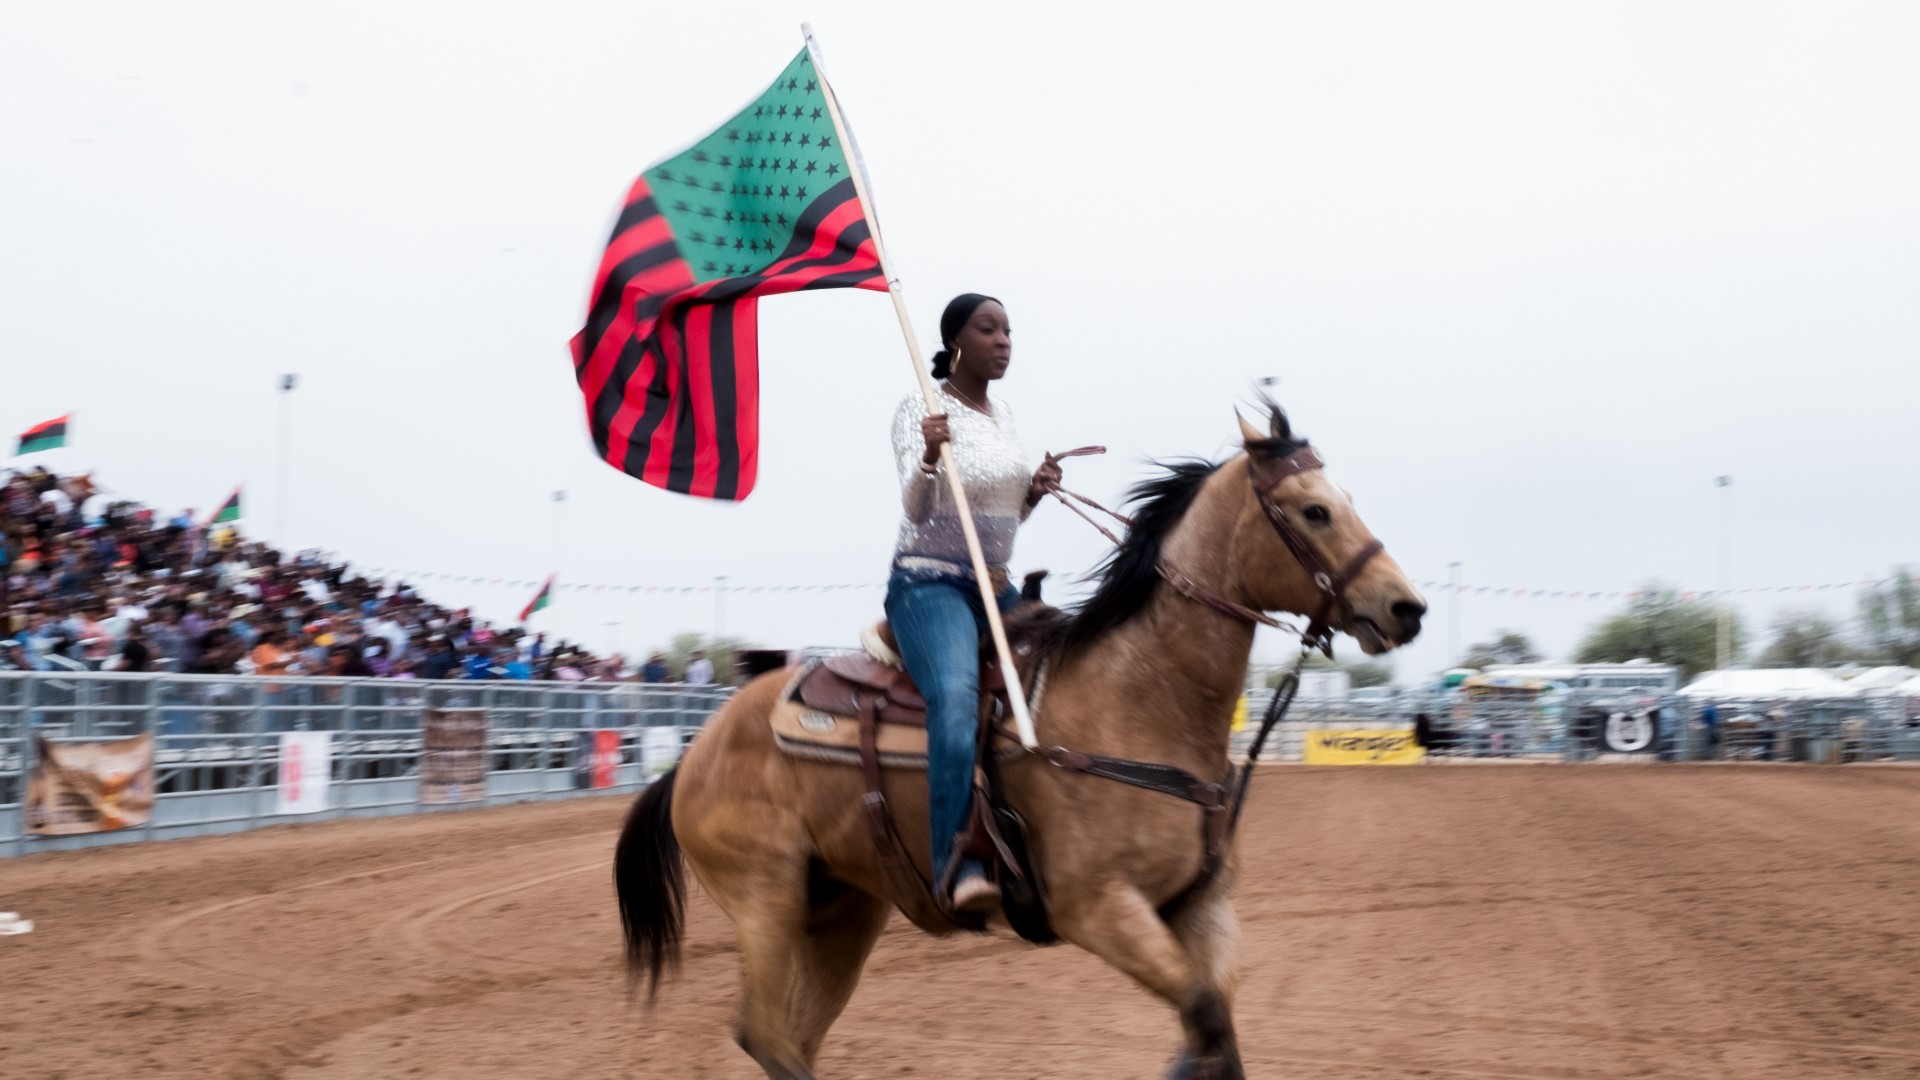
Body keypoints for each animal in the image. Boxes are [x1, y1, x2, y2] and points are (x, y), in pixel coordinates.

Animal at [614, 399, 1428, 1068]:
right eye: (1313, 511)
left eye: (1345, 502)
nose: (1407, 608)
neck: (1138, 701)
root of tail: (696, 753)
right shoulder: (1098, 908)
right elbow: (1204, 1017)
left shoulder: (1201, 906)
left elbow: (1213, 1030)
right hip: (766, 896)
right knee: (766, 1033)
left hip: (845, 906)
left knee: (792, 1037)